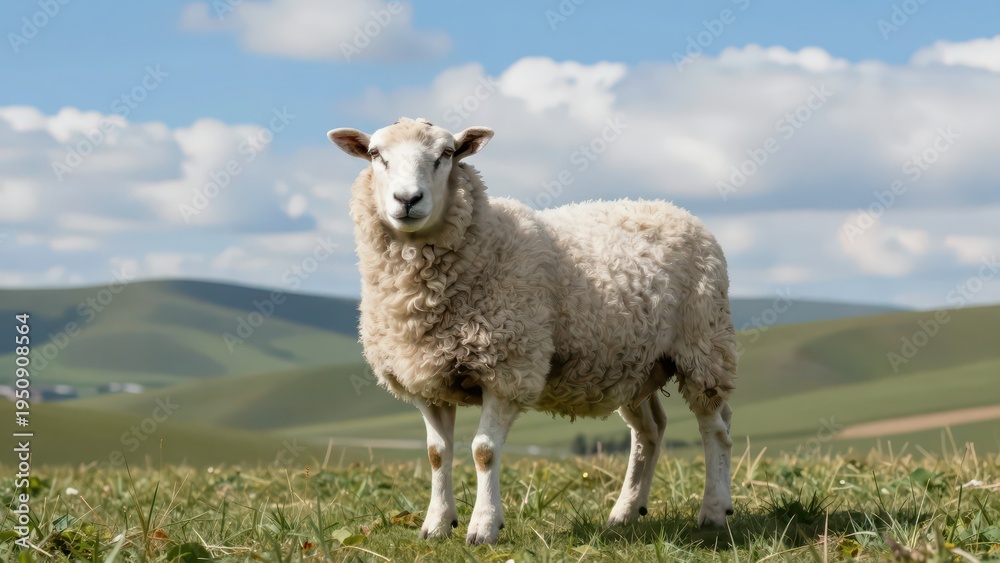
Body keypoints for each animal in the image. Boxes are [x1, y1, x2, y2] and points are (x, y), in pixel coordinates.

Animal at [328, 117, 737, 545]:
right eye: (376, 154)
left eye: (447, 154)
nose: (408, 199)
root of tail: (673, 208)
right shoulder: (426, 378)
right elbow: (437, 454)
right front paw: (436, 525)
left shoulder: (508, 369)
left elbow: (484, 451)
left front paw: (484, 526)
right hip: (634, 362)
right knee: (650, 431)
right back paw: (625, 513)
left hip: (704, 346)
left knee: (715, 429)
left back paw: (713, 510)